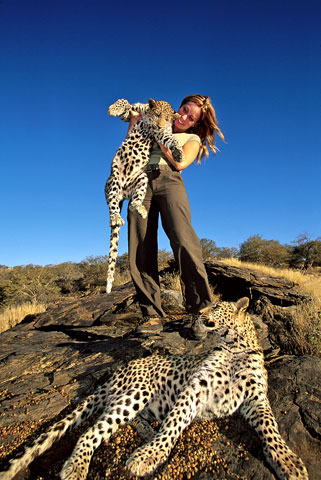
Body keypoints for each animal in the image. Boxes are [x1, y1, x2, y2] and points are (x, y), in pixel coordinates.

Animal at [0, 298, 306, 478]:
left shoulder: (256, 398)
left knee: (120, 421)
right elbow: (174, 423)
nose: (199, 312)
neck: (235, 345)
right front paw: (150, 454)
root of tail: (116, 372)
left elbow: (271, 427)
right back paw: (76, 466)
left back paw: (146, 430)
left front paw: (287, 461)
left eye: (216, 307)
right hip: (137, 392)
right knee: (90, 431)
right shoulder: (195, 388)